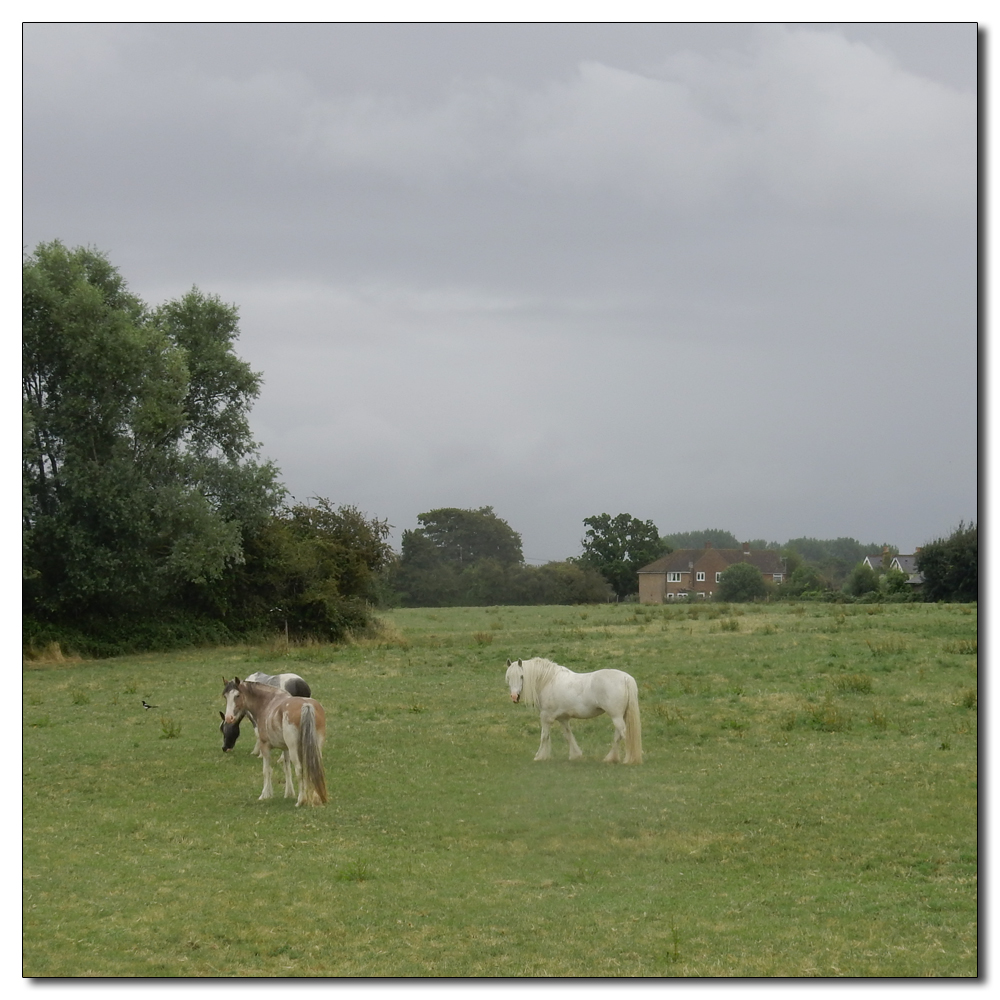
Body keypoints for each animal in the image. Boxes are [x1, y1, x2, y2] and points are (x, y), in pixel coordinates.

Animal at [222, 676, 328, 808]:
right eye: (225, 696)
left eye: (237, 695)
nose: (229, 717)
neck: (267, 702)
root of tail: (307, 705)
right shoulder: (285, 748)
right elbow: (287, 769)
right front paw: (289, 793)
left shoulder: (265, 746)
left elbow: (267, 770)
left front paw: (265, 795)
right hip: (315, 747)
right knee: (315, 768)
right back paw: (316, 798)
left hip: (294, 749)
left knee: (299, 770)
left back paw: (301, 800)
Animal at [504, 656, 644, 764]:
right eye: (508, 677)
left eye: (521, 676)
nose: (514, 697)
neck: (548, 681)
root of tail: (626, 678)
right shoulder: (563, 718)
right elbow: (568, 735)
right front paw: (575, 755)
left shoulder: (546, 717)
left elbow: (544, 736)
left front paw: (539, 756)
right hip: (620, 716)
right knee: (618, 735)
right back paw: (610, 758)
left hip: (616, 716)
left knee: (624, 734)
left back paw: (630, 759)